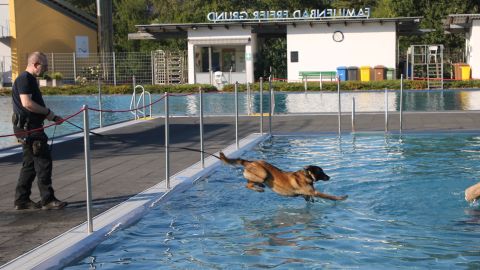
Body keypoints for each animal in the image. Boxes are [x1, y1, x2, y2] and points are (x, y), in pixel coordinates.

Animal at [218, 153, 348, 201]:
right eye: (321, 172)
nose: (329, 177)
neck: (307, 175)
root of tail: (249, 162)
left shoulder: (306, 193)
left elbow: (308, 198)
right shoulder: (314, 192)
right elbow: (328, 196)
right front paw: (341, 197)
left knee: (249, 181)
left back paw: (259, 186)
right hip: (263, 174)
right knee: (247, 184)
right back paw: (259, 189)